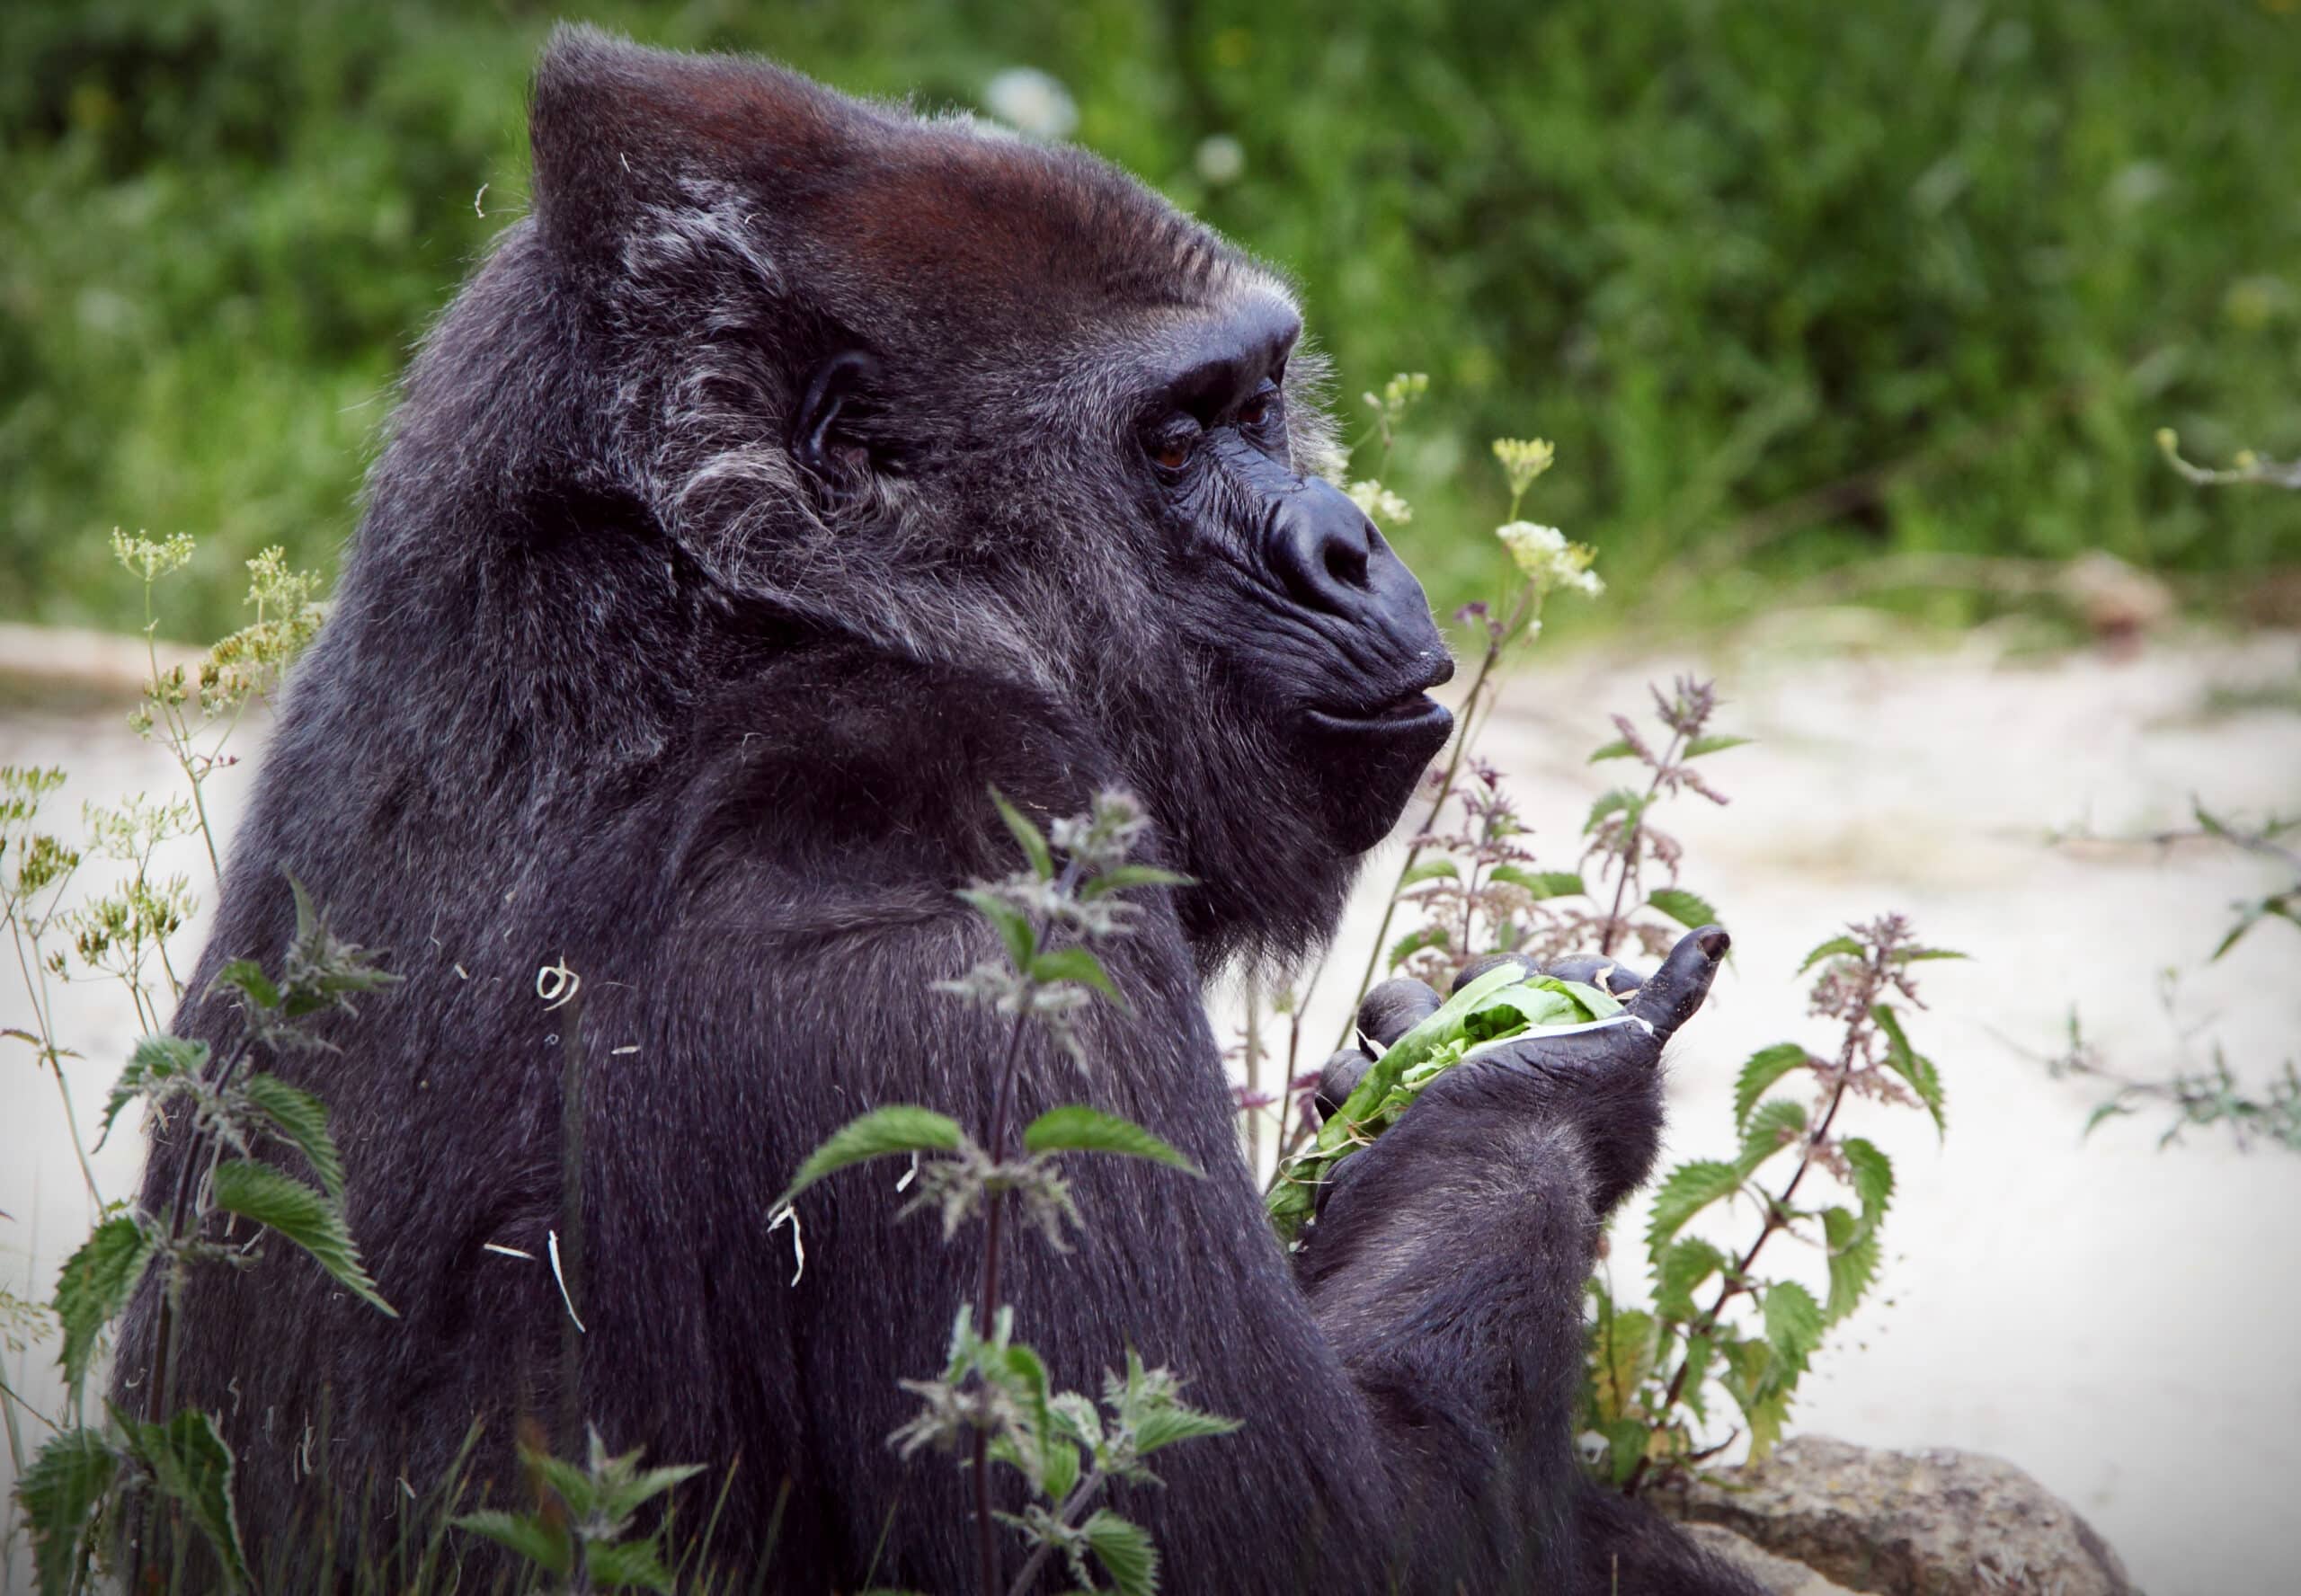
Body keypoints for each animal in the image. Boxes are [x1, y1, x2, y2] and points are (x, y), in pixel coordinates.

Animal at [117, 27, 1763, 1594]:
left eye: (1261, 399)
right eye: (1176, 442)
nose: (1345, 548)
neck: (736, 608)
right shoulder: (981, 895)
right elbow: (1301, 1543)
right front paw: (1528, 1084)